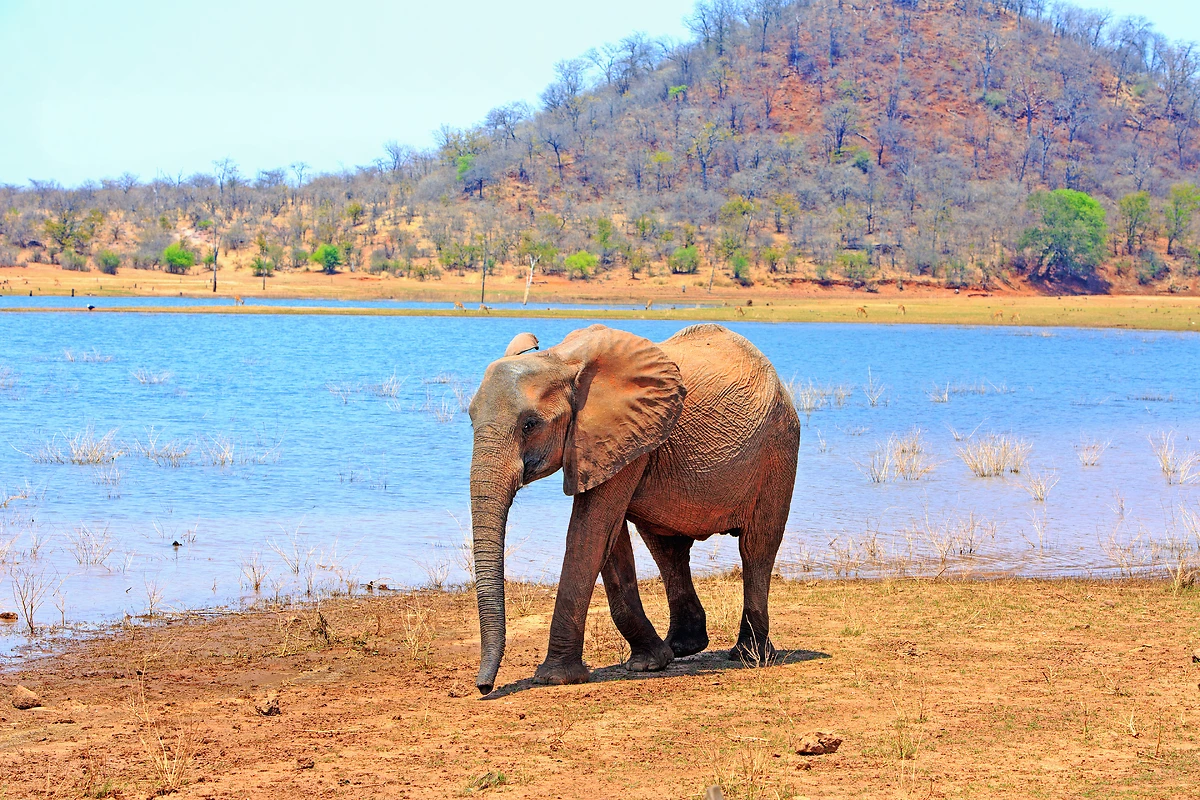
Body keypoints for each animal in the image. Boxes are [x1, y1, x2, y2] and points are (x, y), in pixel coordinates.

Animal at [468, 323, 801, 694]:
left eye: (530, 425)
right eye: (470, 418)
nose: (484, 688)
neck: (558, 360)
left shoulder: (617, 434)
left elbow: (591, 531)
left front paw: (554, 677)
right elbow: (609, 540)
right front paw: (649, 663)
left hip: (778, 447)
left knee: (756, 547)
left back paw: (750, 656)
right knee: (667, 549)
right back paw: (683, 647)